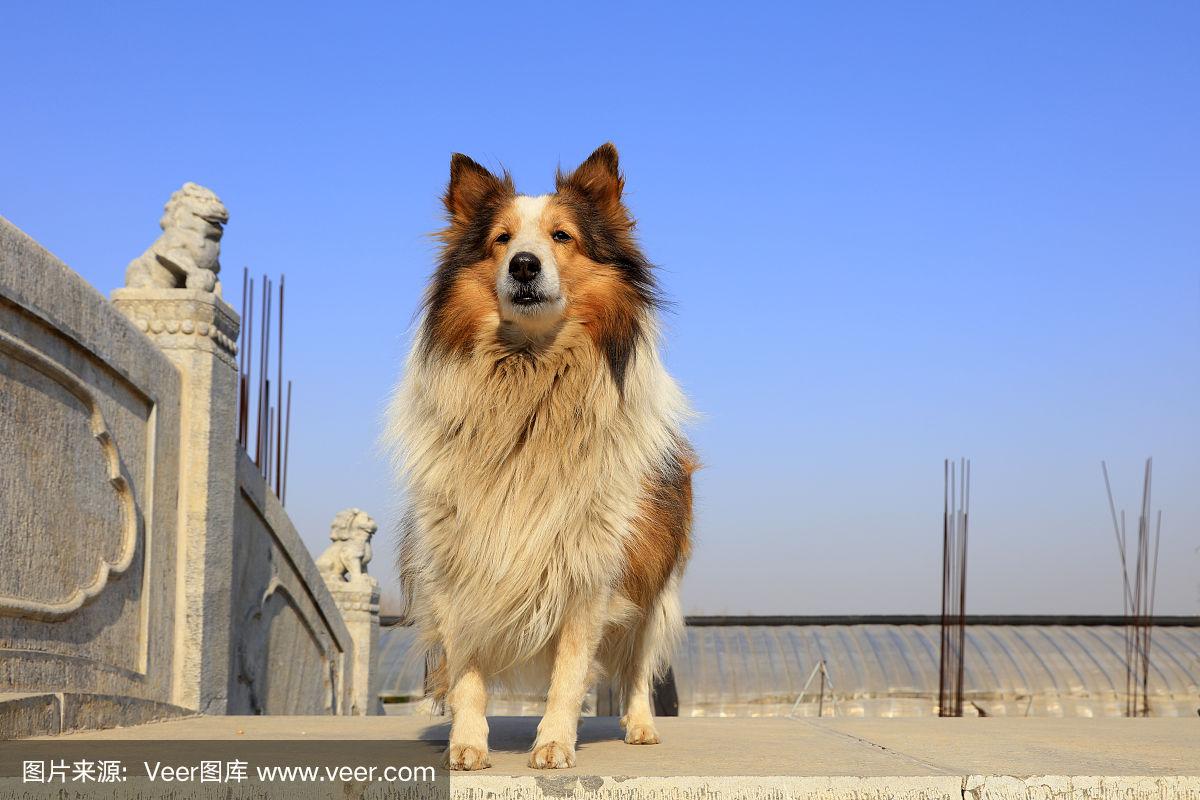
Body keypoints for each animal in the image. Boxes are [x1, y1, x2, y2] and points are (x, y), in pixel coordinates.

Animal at [386, 142, 696, 767]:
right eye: (501, 239)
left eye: (562, 236)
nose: (524, 265)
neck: (530, 378)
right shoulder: (459, 562)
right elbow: (467, 670)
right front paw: (467, 746)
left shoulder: (590, 564)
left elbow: (571, 668)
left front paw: (553, 744)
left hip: (651, 580)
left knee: (637, 662)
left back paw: (640, 725)